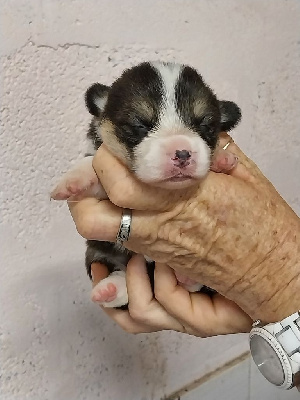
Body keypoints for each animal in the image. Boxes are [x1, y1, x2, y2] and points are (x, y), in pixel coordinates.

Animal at [49, 61, 241, 308]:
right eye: (140, 124)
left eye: (205, 126)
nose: (182, 153)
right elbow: (91, 166)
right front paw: (74, 179)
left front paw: (221, 158)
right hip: (97, 252)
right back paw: (110, 289)